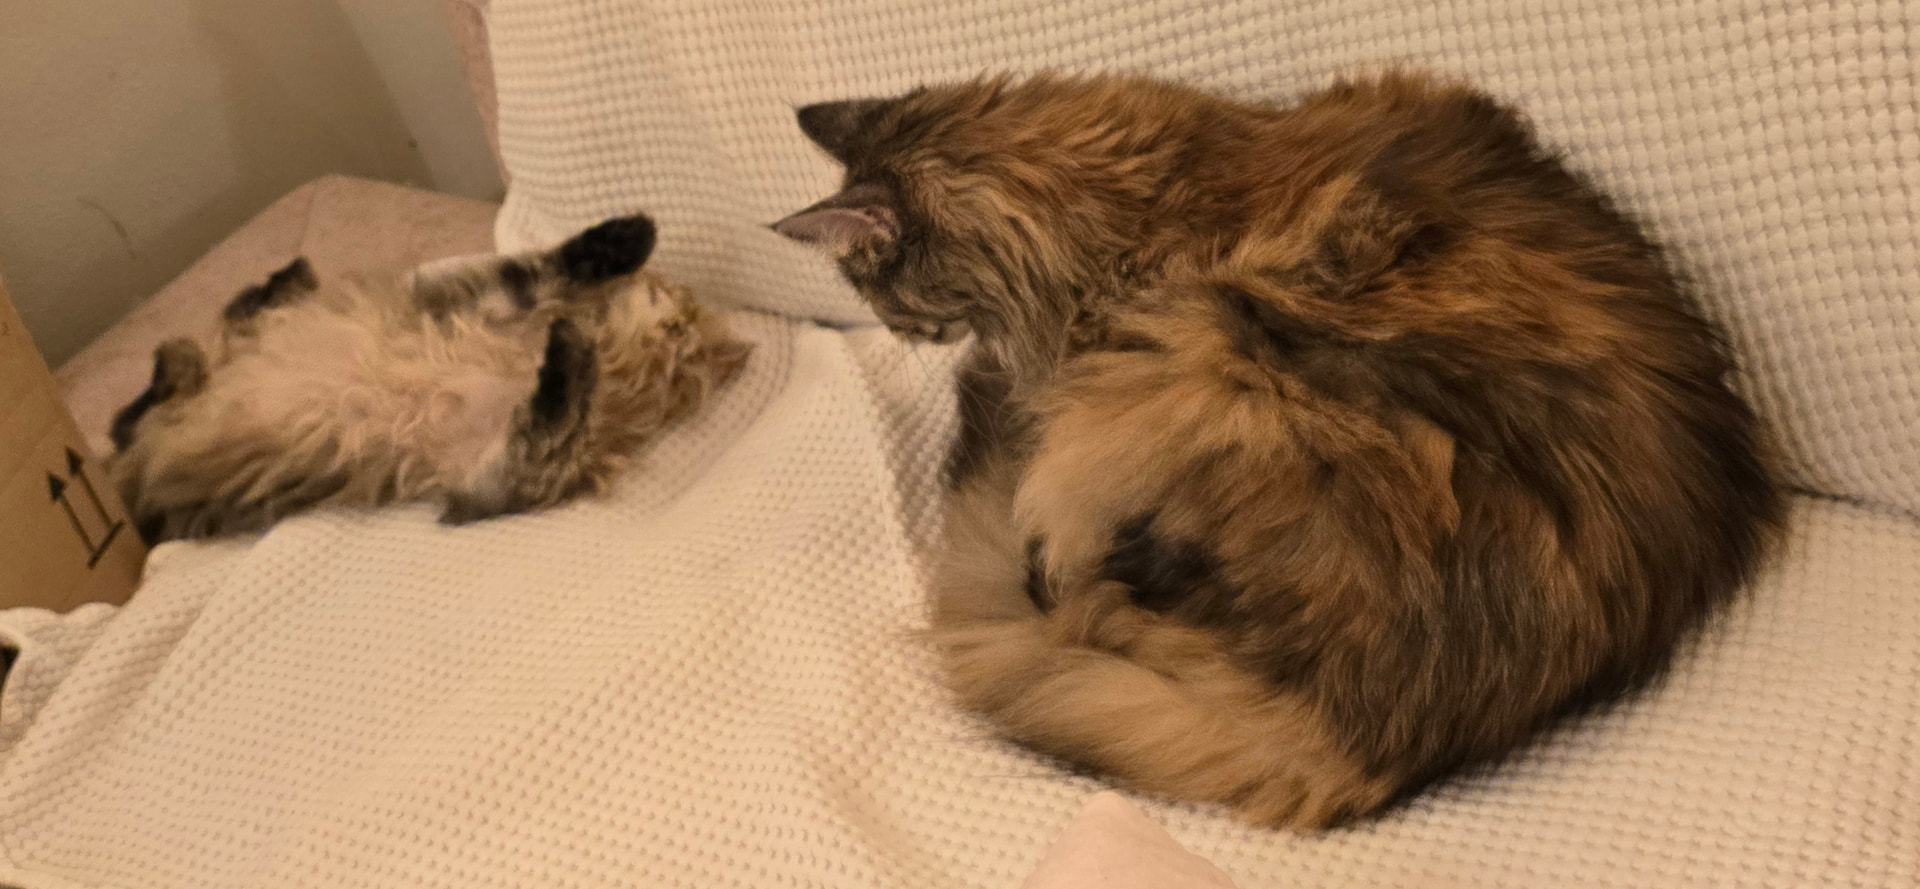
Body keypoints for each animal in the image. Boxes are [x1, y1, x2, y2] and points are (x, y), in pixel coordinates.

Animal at [110, 213, 751, 544]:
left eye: (682, 317)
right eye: (676, 300)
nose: (673, 302)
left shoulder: (498, 473)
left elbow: (555, 411)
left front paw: (571, 347)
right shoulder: (478, 306)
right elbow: (548, 268)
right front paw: (624, 238)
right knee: (147, 399)